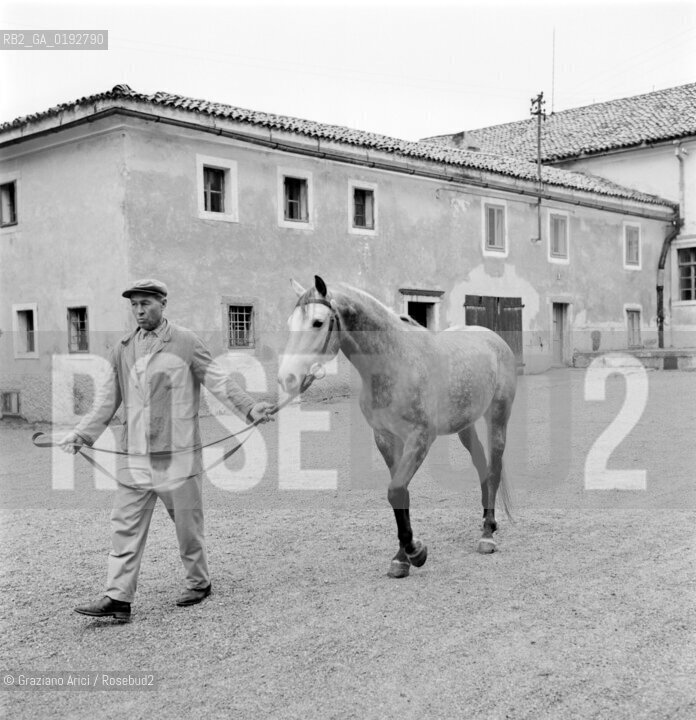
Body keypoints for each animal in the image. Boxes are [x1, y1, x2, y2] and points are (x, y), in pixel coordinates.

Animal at [278, 276, 517, 578]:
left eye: (318, 322)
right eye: (289, 322)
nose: (286, 378)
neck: (395, 363)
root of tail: (493, 338)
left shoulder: (420, 439)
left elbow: (396, 490)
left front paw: (416, 552)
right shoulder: (386, 438)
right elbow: (399, 494)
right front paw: (403, 557)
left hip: (498, 416)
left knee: (494, 468)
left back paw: (487, 534)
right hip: (466, 424)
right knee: (482, 466)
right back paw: (488, 521)